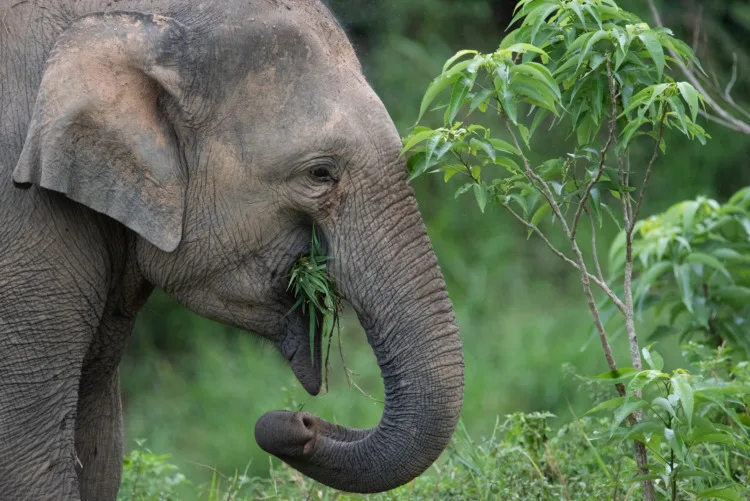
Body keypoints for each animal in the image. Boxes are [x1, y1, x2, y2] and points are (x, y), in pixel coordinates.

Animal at [0, 0, 468, 500]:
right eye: (320, 174)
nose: (298, 420)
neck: (137, 20)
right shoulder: (25, 222)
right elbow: (28, 464)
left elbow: (100, 444)